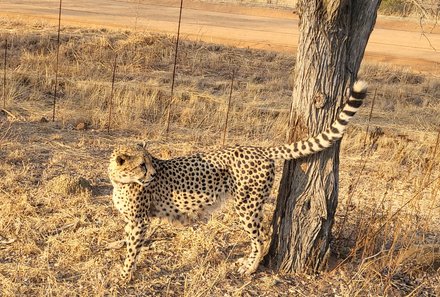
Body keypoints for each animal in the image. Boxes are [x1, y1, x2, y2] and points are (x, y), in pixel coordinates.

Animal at [109, 80, 368, 280]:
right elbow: (127, 239)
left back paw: (249, 268)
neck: (119, 181)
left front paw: (124, 275)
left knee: (261, 237)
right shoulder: (133, 220)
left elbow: (133, 250)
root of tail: (259, 150)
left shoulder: (140, 221)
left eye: (149, 163)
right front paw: (118, 249)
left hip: (246, 205)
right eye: (143, 165)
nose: (152, 174)